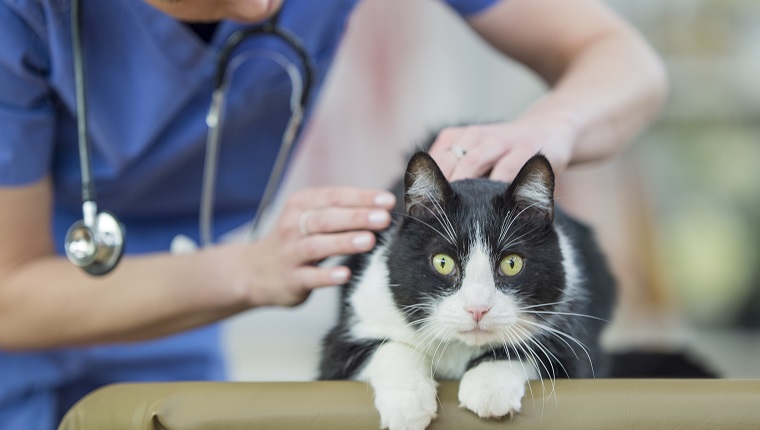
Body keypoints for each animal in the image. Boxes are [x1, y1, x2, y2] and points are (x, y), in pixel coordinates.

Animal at [318, 149, 616, 428]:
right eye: (442, 262)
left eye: (511, 264)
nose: (477, 309)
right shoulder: (351, 328)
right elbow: (386, 347)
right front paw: (407, 405)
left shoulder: (573, 339)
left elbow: (536, 347)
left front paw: (489, 385)